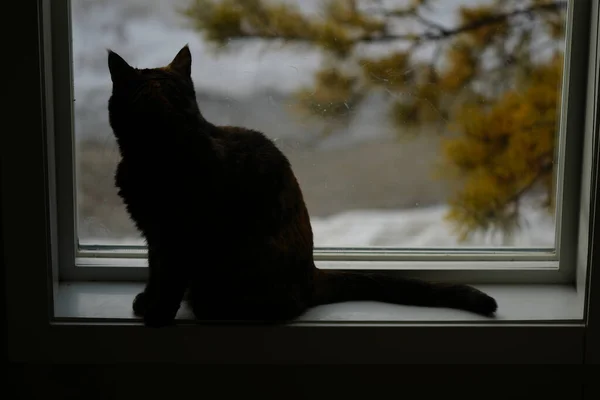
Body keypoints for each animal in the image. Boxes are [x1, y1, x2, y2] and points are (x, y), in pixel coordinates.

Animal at [106, 45, 496, 328]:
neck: (161, 146)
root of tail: (312, 273)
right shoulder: (155, 237)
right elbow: (154, 272)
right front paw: (146, 302)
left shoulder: (178, 237)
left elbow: (168, 280)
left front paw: (157, 316)